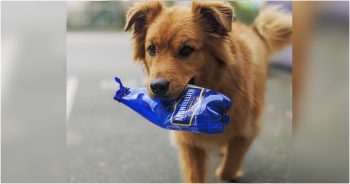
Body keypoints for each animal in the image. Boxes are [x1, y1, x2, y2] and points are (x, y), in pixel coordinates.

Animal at [124, 1, 292, 183]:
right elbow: (195, 174)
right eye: (152, 49)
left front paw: (232, 172)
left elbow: (228, 167)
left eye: (186, 50)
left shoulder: (246, 130)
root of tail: (252, 28)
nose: (157, 86)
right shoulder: (189, 141)